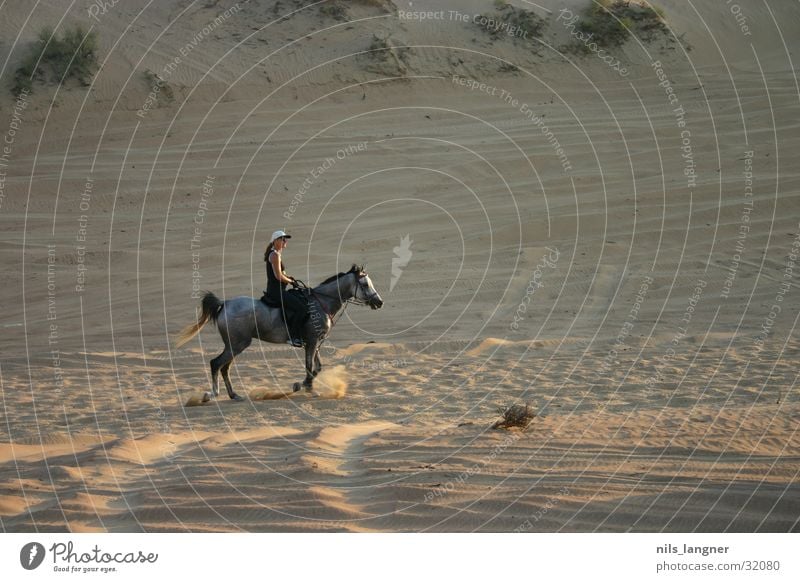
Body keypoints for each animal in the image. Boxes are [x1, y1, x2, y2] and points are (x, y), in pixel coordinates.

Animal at [177, 264, 382, 402]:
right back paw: (212, 394)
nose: (379, 302)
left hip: (234, 345)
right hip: (237, 344)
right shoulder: (312, 342)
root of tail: (225, 304)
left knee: (224, 367)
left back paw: (234, 395)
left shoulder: (315, 342)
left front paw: (302, 385)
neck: (321, 302)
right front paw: (306, 387)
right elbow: (310, 367)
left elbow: (317, 368)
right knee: (216, 364)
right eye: (365, 284)